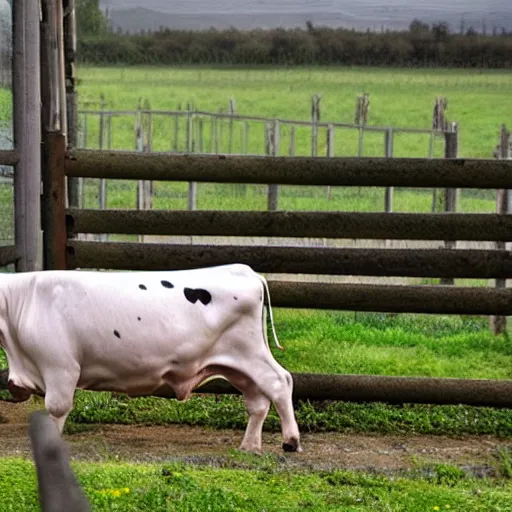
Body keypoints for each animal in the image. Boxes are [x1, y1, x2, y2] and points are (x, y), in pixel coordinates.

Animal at [0, 264, 302, 452]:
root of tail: (243, 270)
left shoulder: (60, 367)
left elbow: (56, 409)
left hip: (250, 352)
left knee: (279, 382)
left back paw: (291, 440)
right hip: (235, 363)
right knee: (256, 399)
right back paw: (249, 446)